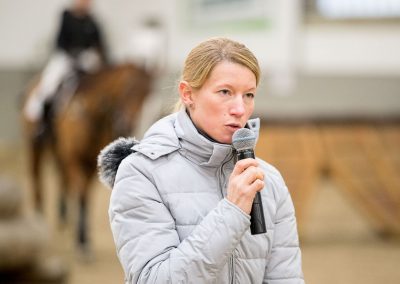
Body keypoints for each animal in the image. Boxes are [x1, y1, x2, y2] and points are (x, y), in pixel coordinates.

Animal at [21, 62, 153, 253]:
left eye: (147, 94)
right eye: (128, 89)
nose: (127, 124)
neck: (91, 114)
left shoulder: (91, 163)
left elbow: (86, 194)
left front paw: (83, 235)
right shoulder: (74, 159)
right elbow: (82, 191)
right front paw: (81, 239)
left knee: (62, 178)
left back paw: (63, 216)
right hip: (35, 144)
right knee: (36, 172)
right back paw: (39, 216)